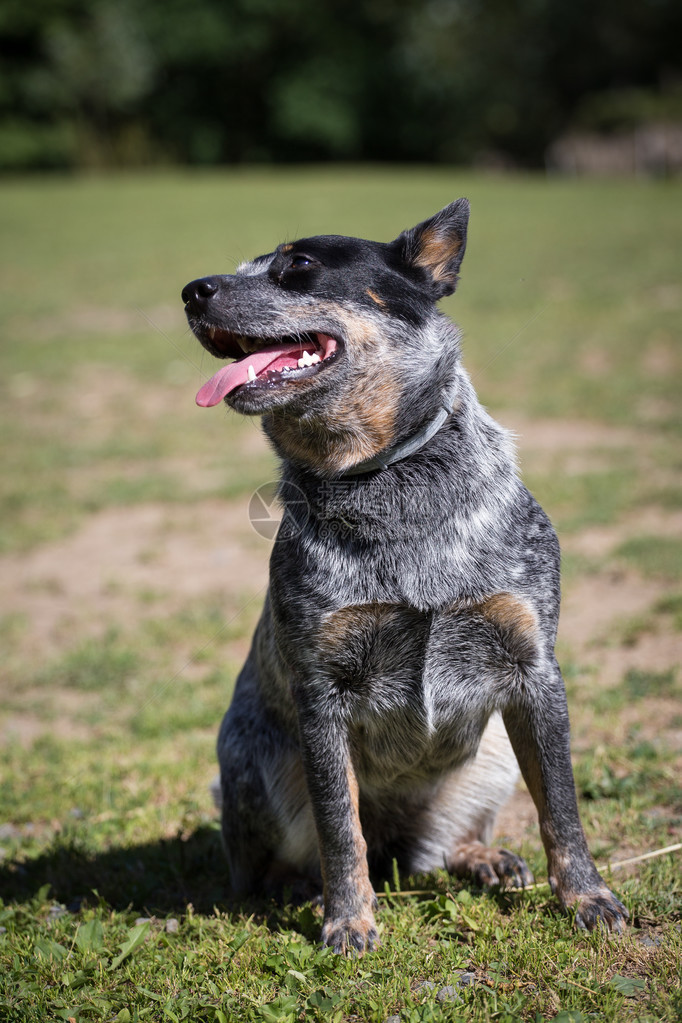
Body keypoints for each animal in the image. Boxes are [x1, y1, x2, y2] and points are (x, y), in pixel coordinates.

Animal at [180, 203, 629, 953]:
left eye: (298, 264)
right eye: (241, 266)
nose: (191, 290)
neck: (386, 478)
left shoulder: (534, 666)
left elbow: (561, 805)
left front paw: (587, 897)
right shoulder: (320, 690)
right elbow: (340, 825)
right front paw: (348, 921)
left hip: (494, 752)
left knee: (440, 849)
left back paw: (483, 857)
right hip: (256, 760)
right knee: (282, 861)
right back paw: (298, 887)